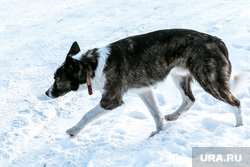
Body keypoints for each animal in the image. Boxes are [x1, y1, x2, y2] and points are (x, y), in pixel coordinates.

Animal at [45, 29, 244, 138]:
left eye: (56, 79)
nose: (46, 93)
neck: (91, 65)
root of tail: (215, 40)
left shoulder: (111, 100)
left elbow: (86, 116)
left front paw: (73, 130)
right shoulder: (144, 90)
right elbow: (156, 114)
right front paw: (158, 132)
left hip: (209, 80)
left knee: (235, 102)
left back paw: (239, 127)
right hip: (179, 76)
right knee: (189, 100)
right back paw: (173, 116)